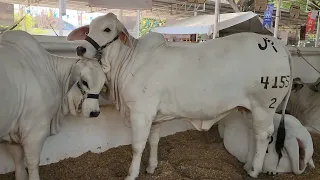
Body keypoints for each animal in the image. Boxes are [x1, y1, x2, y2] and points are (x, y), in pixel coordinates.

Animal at [0, 30, 107, 179]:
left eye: (102, 85)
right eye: (85, 82)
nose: (95, 112)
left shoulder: (11, 134)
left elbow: (18, 162)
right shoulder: (35, 131)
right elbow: (33, 164)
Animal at [67, 12, 292, 179]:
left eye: (107, 29)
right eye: (88, 29)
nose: (80, 48)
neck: (128, 61)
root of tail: (279, 45)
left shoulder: (141, 113)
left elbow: (137, 146)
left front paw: (131, 174)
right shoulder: (155, 116)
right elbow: (154, 141)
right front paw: (151, 167)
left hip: (264, 106)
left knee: (264, 136)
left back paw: (254, 171)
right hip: (248, 108)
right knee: (254, 133)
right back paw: (247, 165)